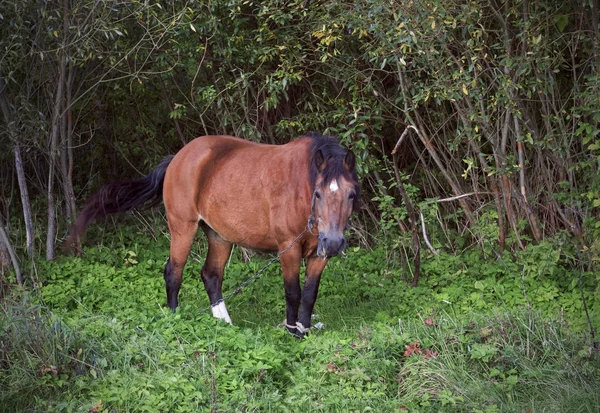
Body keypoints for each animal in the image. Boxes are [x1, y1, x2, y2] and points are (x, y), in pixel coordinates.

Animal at [68, 134, 358, 336]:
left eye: (352, 194)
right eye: (317, 193)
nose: (334, 243)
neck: (301, 186)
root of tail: (178, 157)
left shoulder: (318, 255)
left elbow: (309, 294)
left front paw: (304, 331)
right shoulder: (289, 248)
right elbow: (293, 293)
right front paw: (291, 332)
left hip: (219, 236)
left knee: (211, 275)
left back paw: (224, 322)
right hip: (182, 227)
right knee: (174, 272)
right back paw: (175, 318)